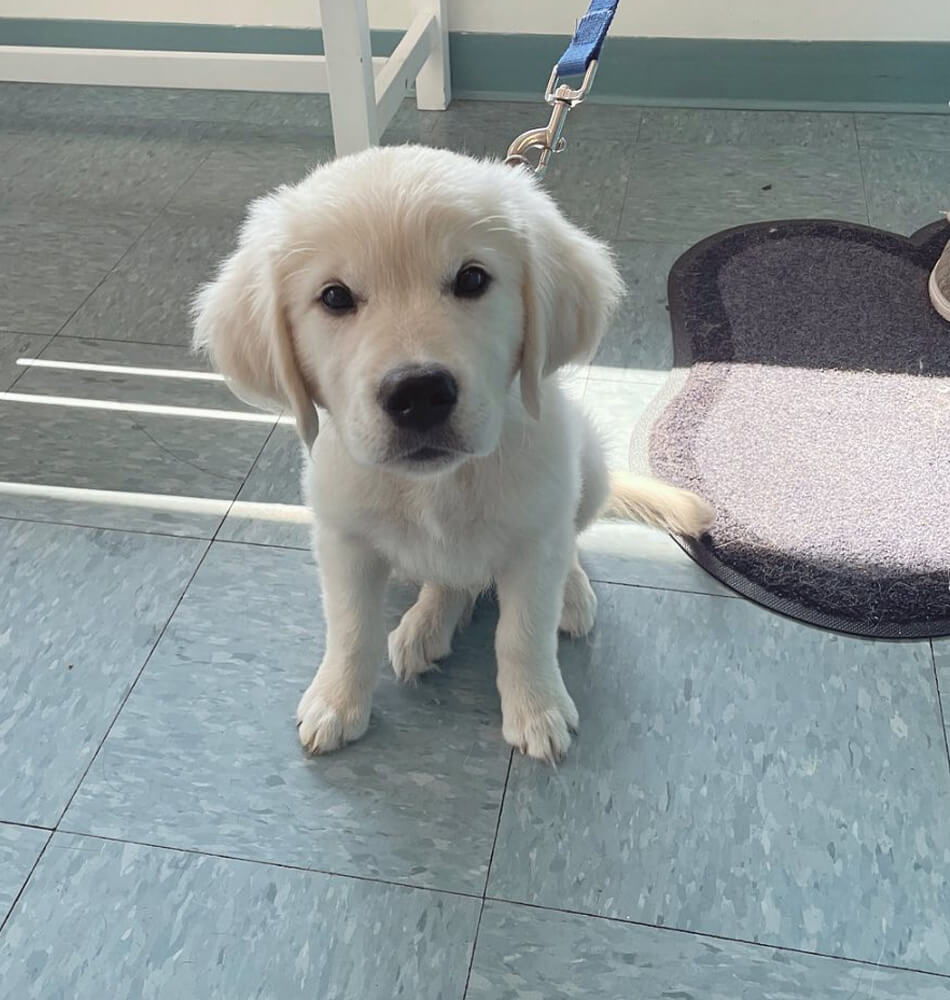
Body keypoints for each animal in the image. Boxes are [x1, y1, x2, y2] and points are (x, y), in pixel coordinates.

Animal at [193, 145, 712, 760]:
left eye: (471, 279)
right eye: (334, 296)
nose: (419, 394)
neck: (437, 485)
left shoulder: (533, 540)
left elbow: (523, 633)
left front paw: (537, 709)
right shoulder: (344, 541)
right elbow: (350, 628)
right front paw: (337, 701)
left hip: (585, 467)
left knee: (568, 542)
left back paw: (568, 594)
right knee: (451, 578)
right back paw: (427, 624)